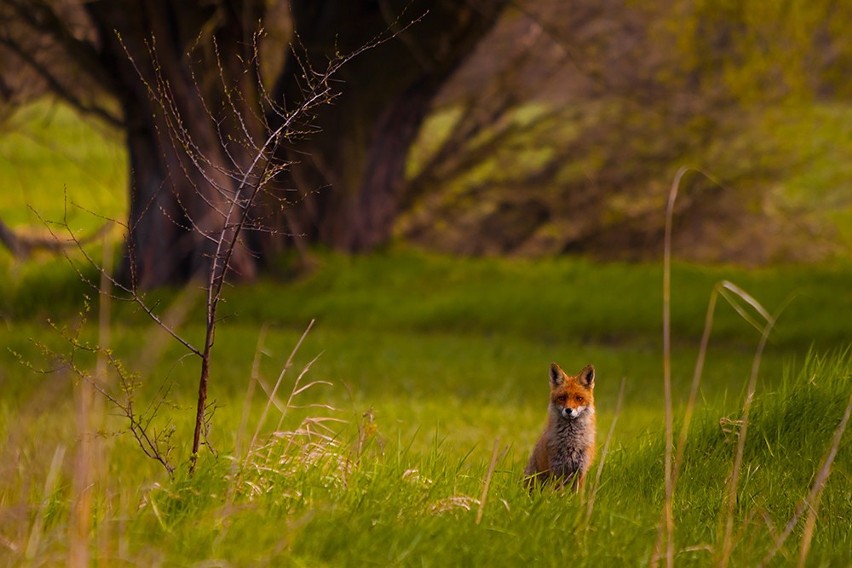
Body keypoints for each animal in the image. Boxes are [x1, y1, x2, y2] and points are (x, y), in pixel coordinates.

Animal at [524, 364, 596, 492]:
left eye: (579, 398)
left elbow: (578, 495)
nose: (568, 410)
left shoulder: (581, 471)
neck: (571, 442)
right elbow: (559, 494)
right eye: (562, 398)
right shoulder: (557, 470)